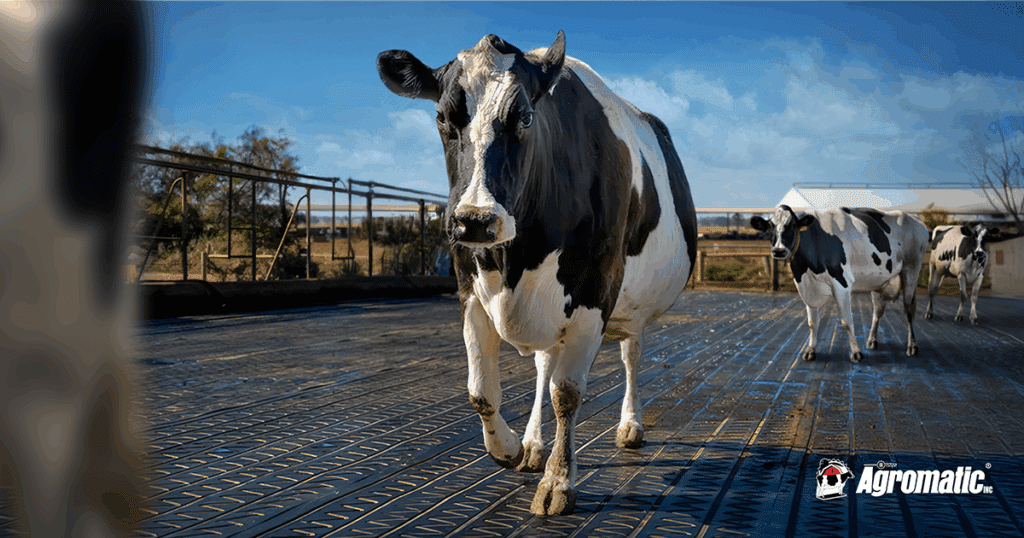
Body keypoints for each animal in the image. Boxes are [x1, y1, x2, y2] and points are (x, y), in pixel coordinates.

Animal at [377, 32, 697, 515]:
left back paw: (630, 425)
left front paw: (559, 482)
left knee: (630, 356)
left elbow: (567, 393)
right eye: (441, 117)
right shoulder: (469, 290)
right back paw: (531, 444)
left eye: (525, 116)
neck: (516, 262)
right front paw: (508, 448)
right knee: (544, 365)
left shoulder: (594, 293)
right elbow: (481, 390)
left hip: (631, 305)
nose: (474, 220)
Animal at [750, 206, 929, 362]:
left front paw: (856, 353)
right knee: (878, 311)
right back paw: (871, 340)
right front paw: (810, 350)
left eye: (793, 225)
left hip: (912, 269)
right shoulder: (808, 288)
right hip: (879, 280)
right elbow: (812, 323)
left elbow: (846, 321)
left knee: (908, 310)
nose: (778, 251)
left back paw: (911, 346)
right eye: (770, 227)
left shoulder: (842, 283)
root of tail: (914, 217)